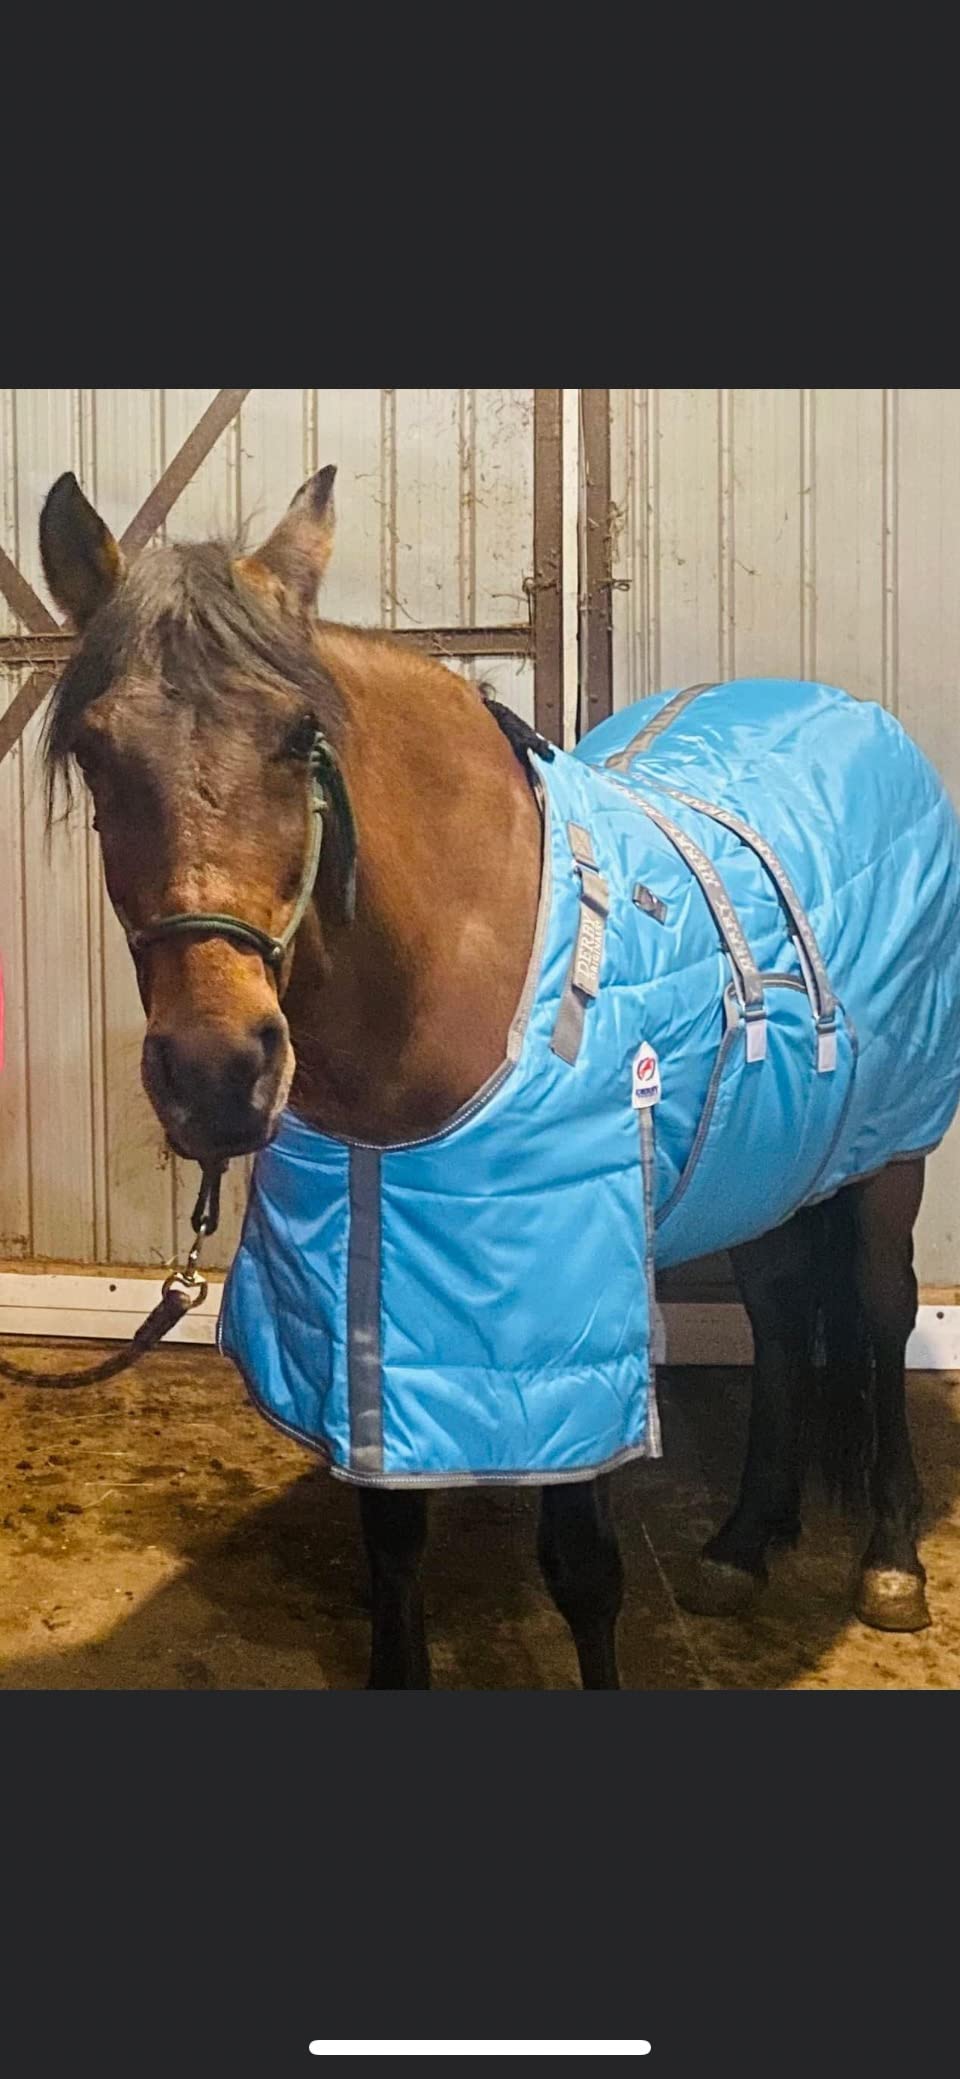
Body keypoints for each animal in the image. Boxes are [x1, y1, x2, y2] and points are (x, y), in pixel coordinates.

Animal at [35, 462, 958, 1687]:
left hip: (895, 1146)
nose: (217, 1071)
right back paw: (744, 1541)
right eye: (95, 751)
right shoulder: (382, 1318)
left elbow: (584, 1571)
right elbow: (392, 1546)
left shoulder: (560, 1319)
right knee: (776, 1309)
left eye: (299, 736)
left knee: (877, 1309)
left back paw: (890, 1554)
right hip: (771, 1154)